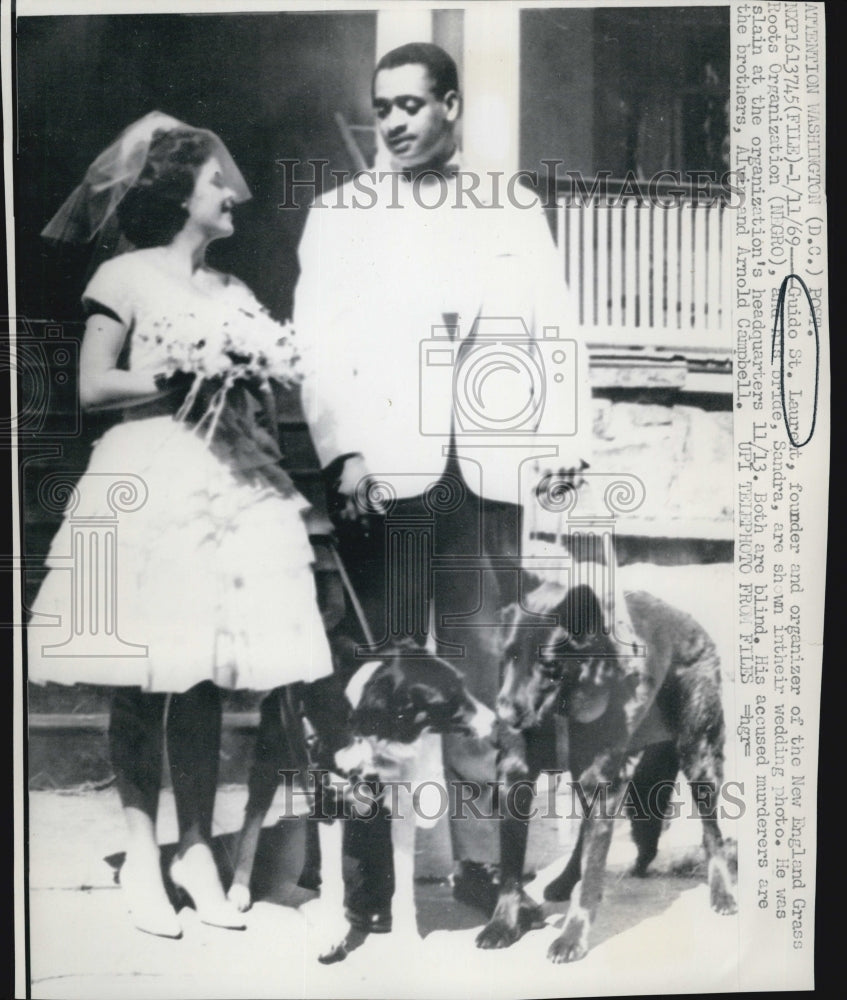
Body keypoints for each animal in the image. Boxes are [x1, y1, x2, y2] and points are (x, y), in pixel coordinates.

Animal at [480, 584, 740, 964]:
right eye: (509, 656)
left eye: (547, 664)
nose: (504, 714)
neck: (562, 706)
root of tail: (689, 621)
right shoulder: (516, 781)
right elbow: (511, 871)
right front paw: (503, 924)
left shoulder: (601, 786)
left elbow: (591, 877)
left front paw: (571, 937)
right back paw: (566, 879)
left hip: (699, 757)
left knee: (712, 834)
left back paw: (721, 893)